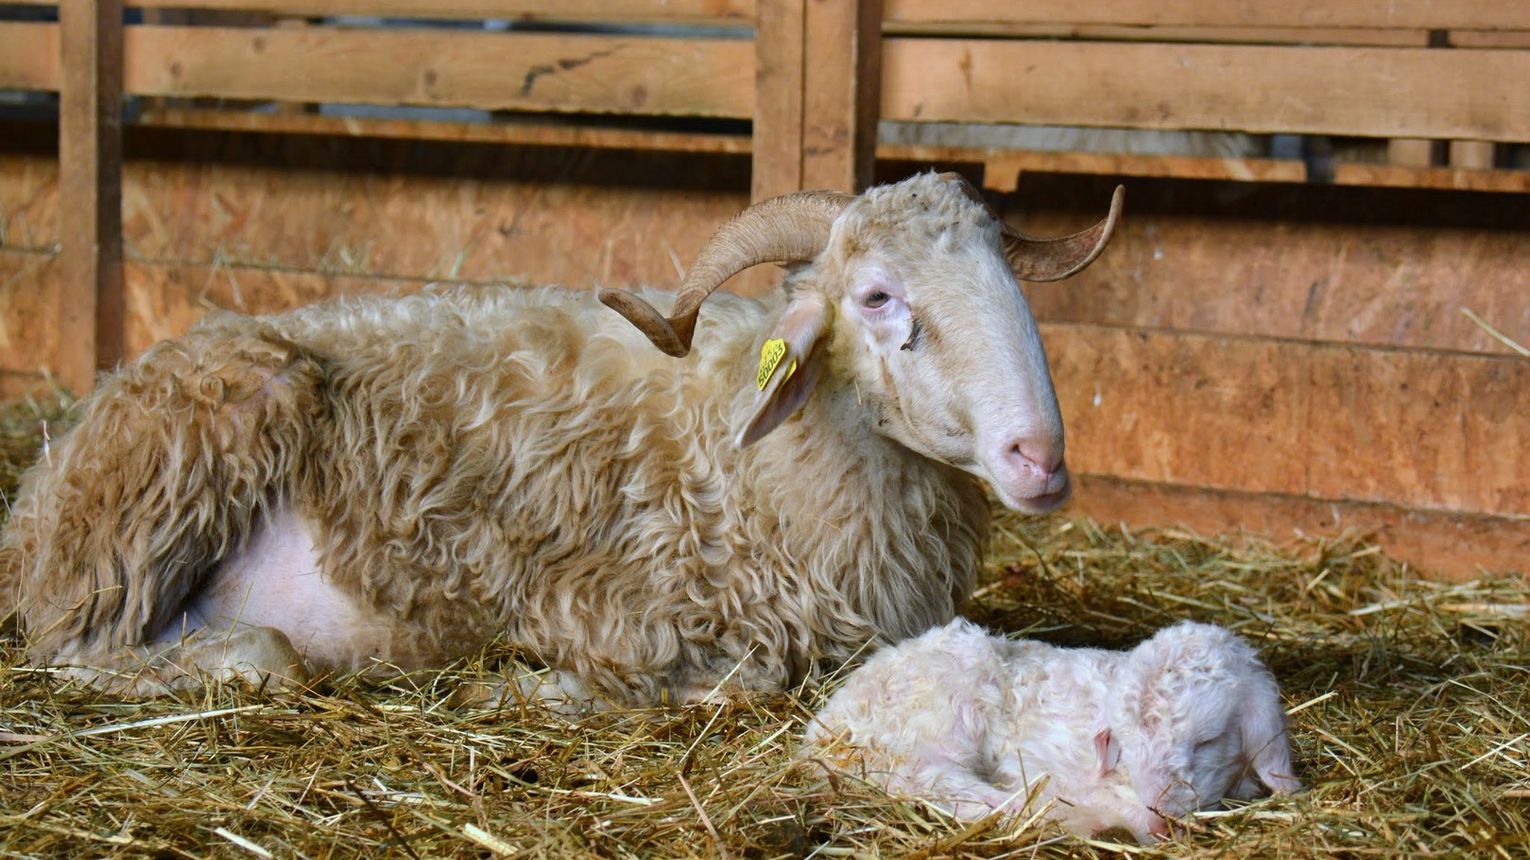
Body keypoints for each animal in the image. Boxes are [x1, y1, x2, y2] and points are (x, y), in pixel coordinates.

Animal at [0, 169, 1126, 703]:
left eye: (1010, 282)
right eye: (878, 295)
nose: (1038, 458)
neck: (749, 452)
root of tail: (42, 492)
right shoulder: (608, 597)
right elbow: (729, 682)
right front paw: (549, 690)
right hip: (188, 458)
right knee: (84, 649)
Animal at [801, 615, 1303, 838]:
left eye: (1207, 740)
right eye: (1127, 744)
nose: (1160, 820)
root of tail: (828, 728)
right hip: (939, 714)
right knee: (930, 781)